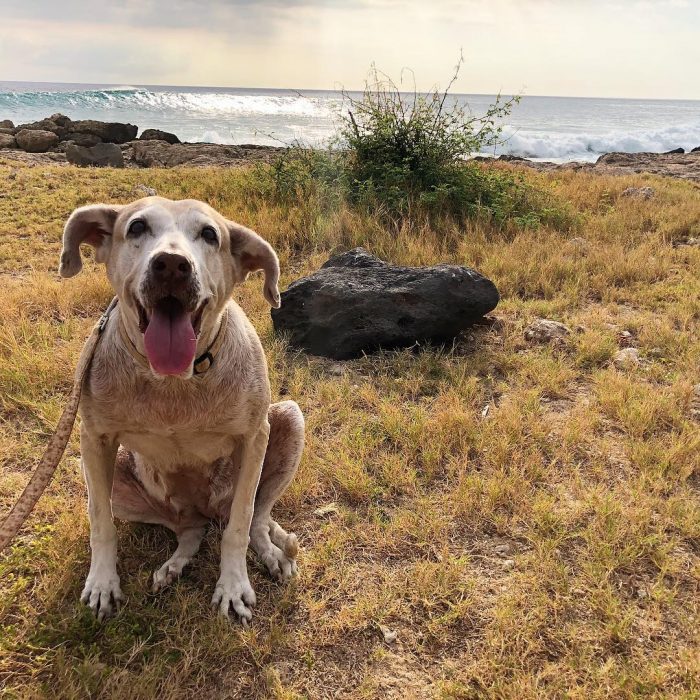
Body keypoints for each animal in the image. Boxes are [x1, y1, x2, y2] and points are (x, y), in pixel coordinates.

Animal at [58, 196, 304, 624]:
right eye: (137, 227)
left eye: (209, 234)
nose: (172, 264)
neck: (175, 381)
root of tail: (206, 510)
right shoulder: (95, 441)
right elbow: (100, 521)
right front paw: (102, 583)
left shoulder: (253, 438)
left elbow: (240, 525)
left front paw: (233, 586)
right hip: (122, 480)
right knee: (189, 531)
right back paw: (172, 566)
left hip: (289, 419)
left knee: (255, 516)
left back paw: (273, 553)